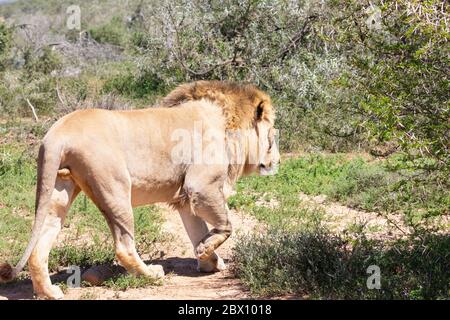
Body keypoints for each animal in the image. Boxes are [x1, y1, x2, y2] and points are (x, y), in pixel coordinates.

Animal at [0, 80, 280, 300]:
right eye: (272, 137)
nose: (277, 161)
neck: (229, 125)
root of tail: (58, 133)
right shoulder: (200, 185)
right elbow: (225, 225)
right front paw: (207, 252)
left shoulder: (185, 198)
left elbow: (197, 231)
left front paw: (210, 260)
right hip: (115, 189)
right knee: (124, 246)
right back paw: (152, 274)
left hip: (58, 189)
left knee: (39, 246)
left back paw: (49, 292)